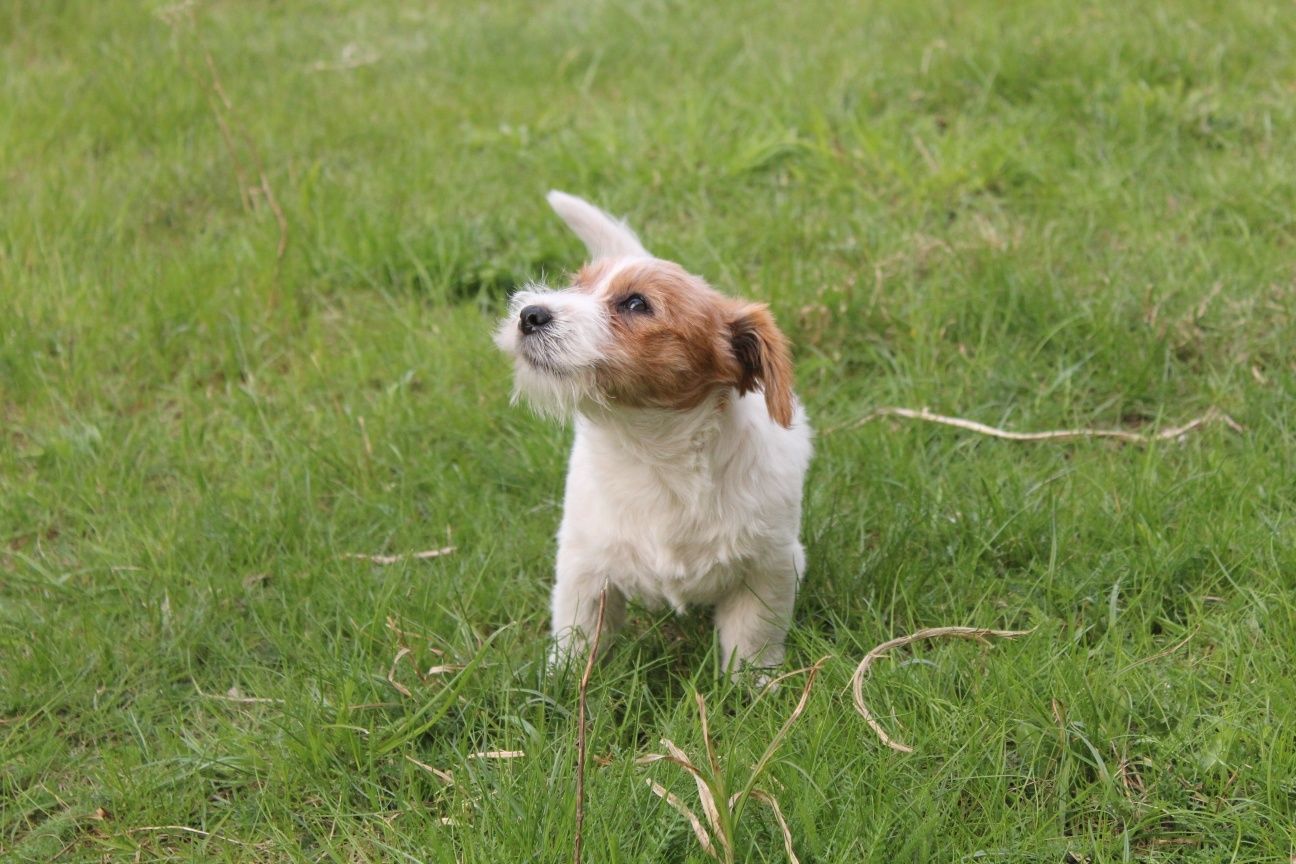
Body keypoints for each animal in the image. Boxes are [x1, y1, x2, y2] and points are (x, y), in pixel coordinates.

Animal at [495, 193, 808, 678]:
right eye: (577, 285)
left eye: (636, 304)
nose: (531, 314)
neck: (653, 454)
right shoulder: (585, 567)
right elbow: (577, 634)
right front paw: (562, 681)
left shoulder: (769, 567)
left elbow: (753, 637)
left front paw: (754, 685)